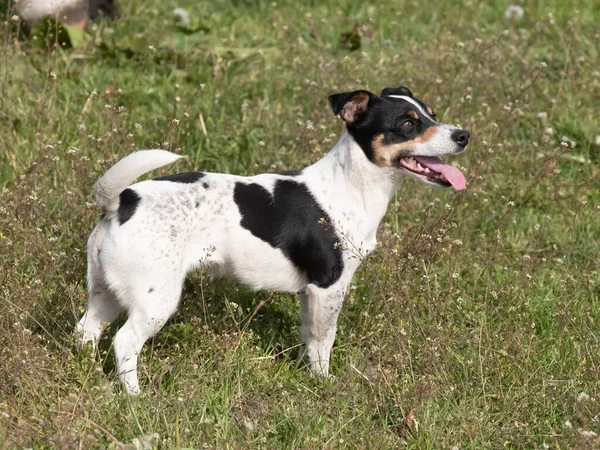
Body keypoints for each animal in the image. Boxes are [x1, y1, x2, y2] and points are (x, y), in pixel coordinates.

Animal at [75, 86, 468, 392]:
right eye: (408, 124)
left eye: (432, 115)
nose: (464, 135)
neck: (351, 184)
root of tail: (121, 202)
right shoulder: (329, 286)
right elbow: (324, 341)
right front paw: (323, 384)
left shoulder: (310, 293)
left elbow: (309, 337)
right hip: (155, 300)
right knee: (124, 342)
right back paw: (135, 395)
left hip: (105, 293)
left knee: (86, 332)